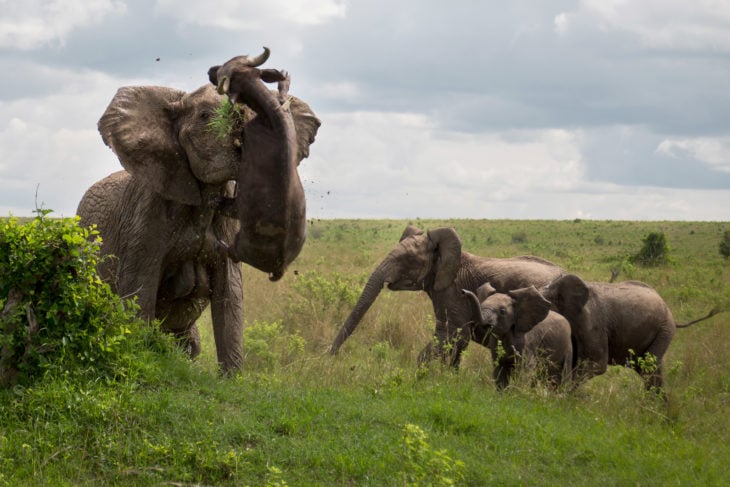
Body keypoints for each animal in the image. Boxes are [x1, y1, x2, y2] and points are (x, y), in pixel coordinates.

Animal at [77, 48, 318, 374]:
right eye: (205, 117)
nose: (280, 78)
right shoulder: (146, 216)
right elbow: (139, 288)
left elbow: (231, 295)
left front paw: (231, 379)